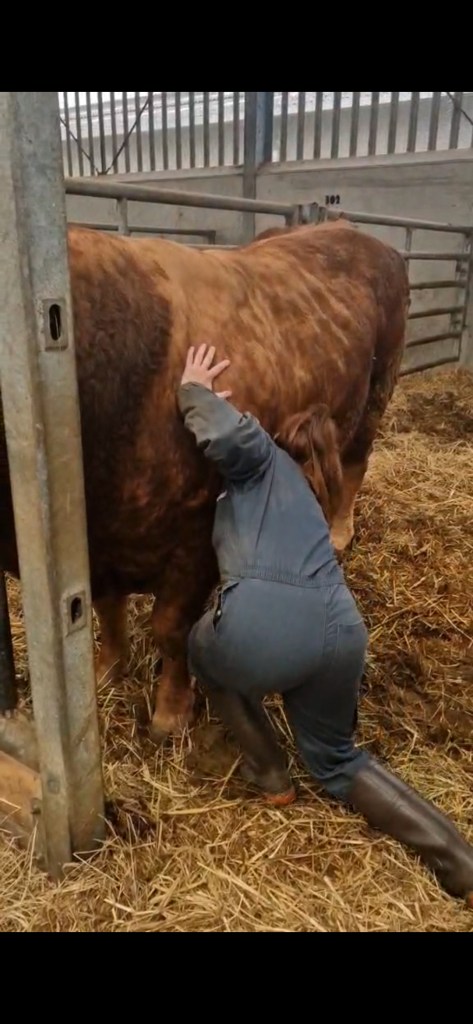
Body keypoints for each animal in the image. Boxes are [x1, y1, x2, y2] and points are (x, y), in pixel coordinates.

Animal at [0, 221, 409, 743]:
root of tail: (355, 232)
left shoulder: (196, 540)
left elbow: (171, 629)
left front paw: (171, 713)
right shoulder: (99, 546)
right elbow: (106, 612)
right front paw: (104, 672)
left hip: (379, 387)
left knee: (356, 463)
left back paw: (339, 533)